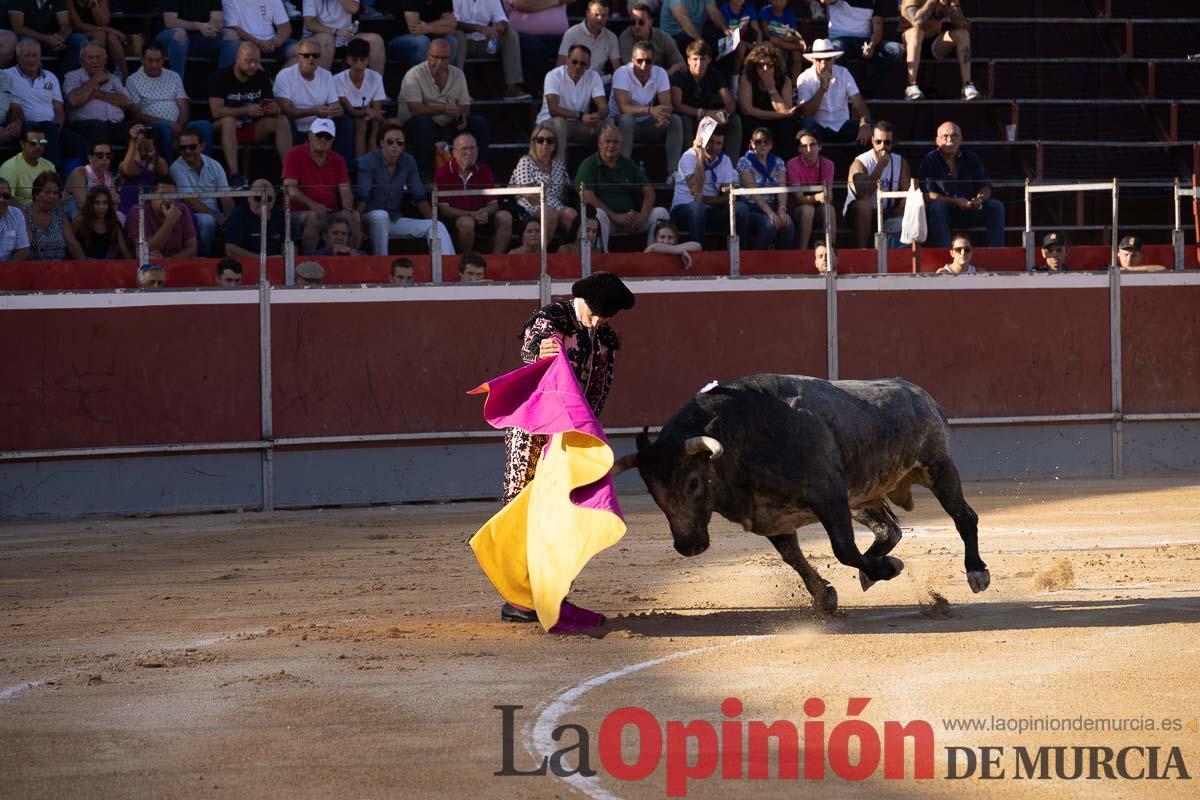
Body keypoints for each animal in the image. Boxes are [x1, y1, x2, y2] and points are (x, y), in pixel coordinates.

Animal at [612, 374, 990, 614]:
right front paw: (826, 596)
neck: (743, 434)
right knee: (890, 530)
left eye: (692, 482)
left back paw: (976, 572)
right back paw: (871, 570)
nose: (688, 546)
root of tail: (920, 394)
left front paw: (889, 569)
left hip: (937, 467)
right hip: (862, 496)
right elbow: (793, 557)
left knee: (964, 517)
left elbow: (843, 549)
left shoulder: (829, 495)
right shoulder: (772, 518)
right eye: (653, 492)